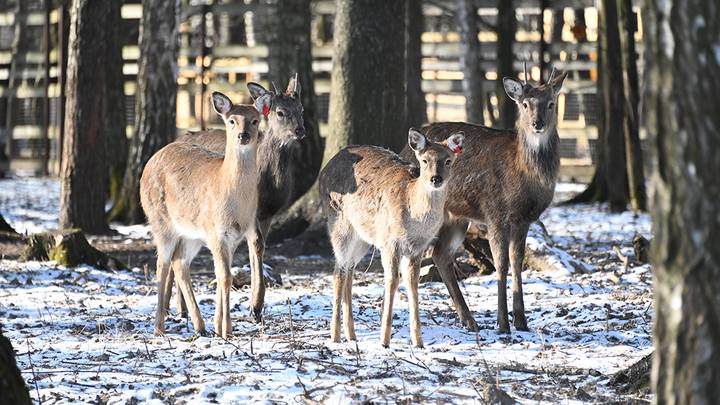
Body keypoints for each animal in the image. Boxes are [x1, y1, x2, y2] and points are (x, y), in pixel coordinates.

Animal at [139, 91, 266, 338]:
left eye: (255, 120)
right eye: (231, 120)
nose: (243, 135)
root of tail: (149, 163)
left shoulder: (232, 237)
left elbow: (222, 275)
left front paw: (219, 327)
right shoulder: (215, 231)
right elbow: (225, 277)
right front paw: (227, 330)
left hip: (192, 234)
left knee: (179, 262)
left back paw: (200, 325)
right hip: (160, 221)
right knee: (161, 264)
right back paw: (159, 328)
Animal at [173, 75, 308, 322]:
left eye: (301, 108)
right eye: (280, 112)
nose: (300, 130)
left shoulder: (268, 213)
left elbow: (260, 247)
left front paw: (257, 307)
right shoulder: (252, 212)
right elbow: (256, 244)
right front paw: (255, 306)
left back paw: (181, 308)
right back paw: (180, 309)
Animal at [318, 128, 464, 346]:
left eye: (448, 160)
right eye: (424, 160)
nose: (435, 179)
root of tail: (324, 170)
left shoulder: (417, 248)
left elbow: (412, 283)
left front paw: (418, 342)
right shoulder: (389, 243)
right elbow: (392, 280)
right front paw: (384, 340)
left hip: (363, 237)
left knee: (349, 270)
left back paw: (351, 335)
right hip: (338, 223)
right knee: (338, 271)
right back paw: (335, 337)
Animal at [400, 65, 568, 332]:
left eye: (551, 103)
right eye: (525, 104)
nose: (537, 123)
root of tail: (404, 149)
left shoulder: (524, 219)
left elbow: (517, 262)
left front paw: (521, 321)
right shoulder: (495, 211)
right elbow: (501, 263)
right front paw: (503, 323)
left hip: (456, 217)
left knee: (441, 255)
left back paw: (469, 319)